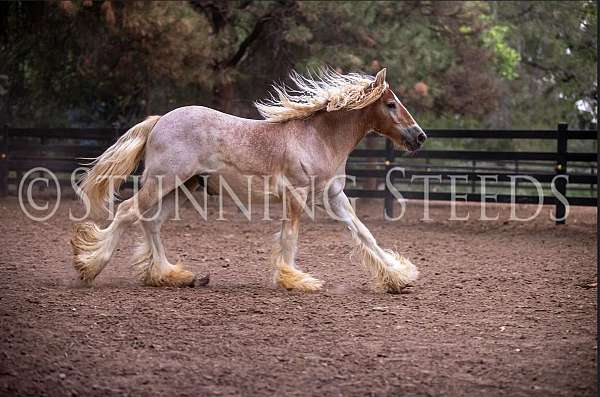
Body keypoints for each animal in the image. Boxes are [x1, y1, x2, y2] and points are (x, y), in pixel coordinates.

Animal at [70, 67, 426, 290]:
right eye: (391, 104)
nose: (419, 136)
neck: (318, 138)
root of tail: (159, 120)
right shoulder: (296, 195)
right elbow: (290, 238)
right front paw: (295, 280)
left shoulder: (333, 196)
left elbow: (364, 234)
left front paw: (399, 277)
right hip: (163, 182)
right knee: (126, 212)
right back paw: (90, 266)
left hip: (181, 188)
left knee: (150, 222)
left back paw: (172, 275)